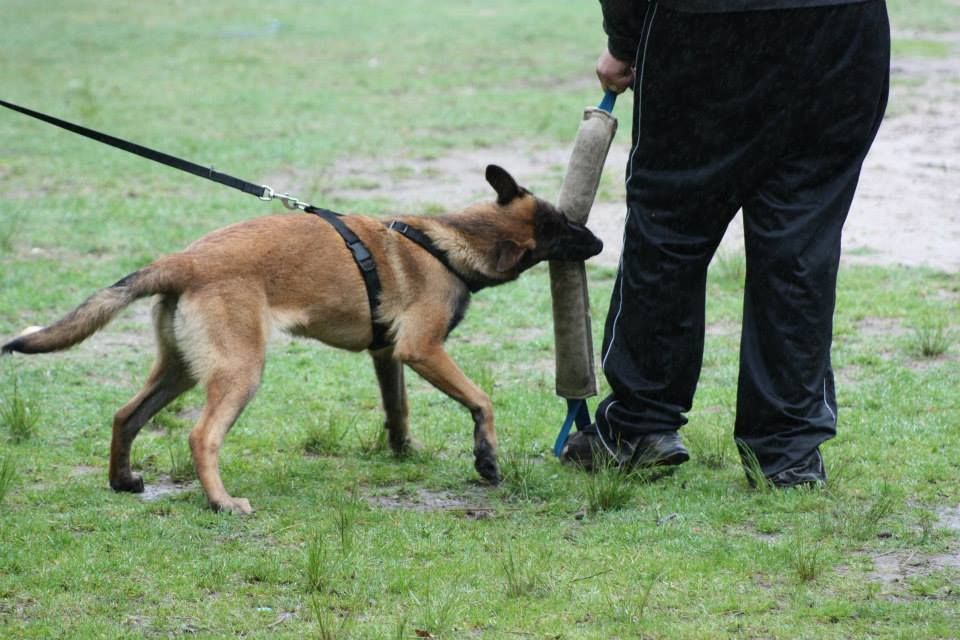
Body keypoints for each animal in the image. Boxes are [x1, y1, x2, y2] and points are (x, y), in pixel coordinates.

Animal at [1, 166, 600, 516]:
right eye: (566, 228)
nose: (597, 242)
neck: (448, 242)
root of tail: (184, 261)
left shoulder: (388, 354)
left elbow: (398, 409)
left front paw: (403, 451)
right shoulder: (422, 349)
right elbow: (482, 400)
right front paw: (486, 457)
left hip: (181, 369)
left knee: (126, 414)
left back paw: (122, 480)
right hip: (239, 371)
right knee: (201, 436)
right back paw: (221, 502)